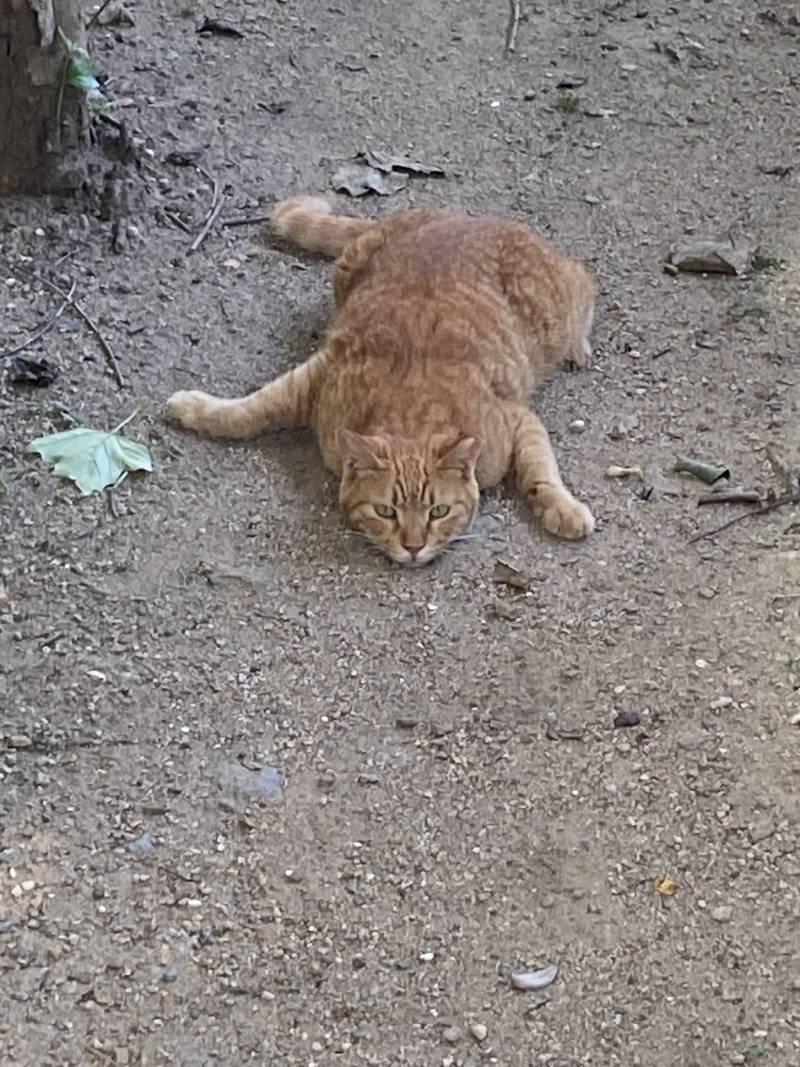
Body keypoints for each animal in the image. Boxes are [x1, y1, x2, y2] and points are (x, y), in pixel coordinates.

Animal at [167, 199, 597, 567]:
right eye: (386, 511)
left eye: (438, 511)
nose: (413, 546)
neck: (411, 410)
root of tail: (464, 216)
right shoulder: (316, 378)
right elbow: (248, 410)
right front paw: (195, 408)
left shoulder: (515, 420)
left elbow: (540, 467)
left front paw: (562, 506)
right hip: (345, 271)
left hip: (556, 314)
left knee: (584, 280)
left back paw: (579, 344)